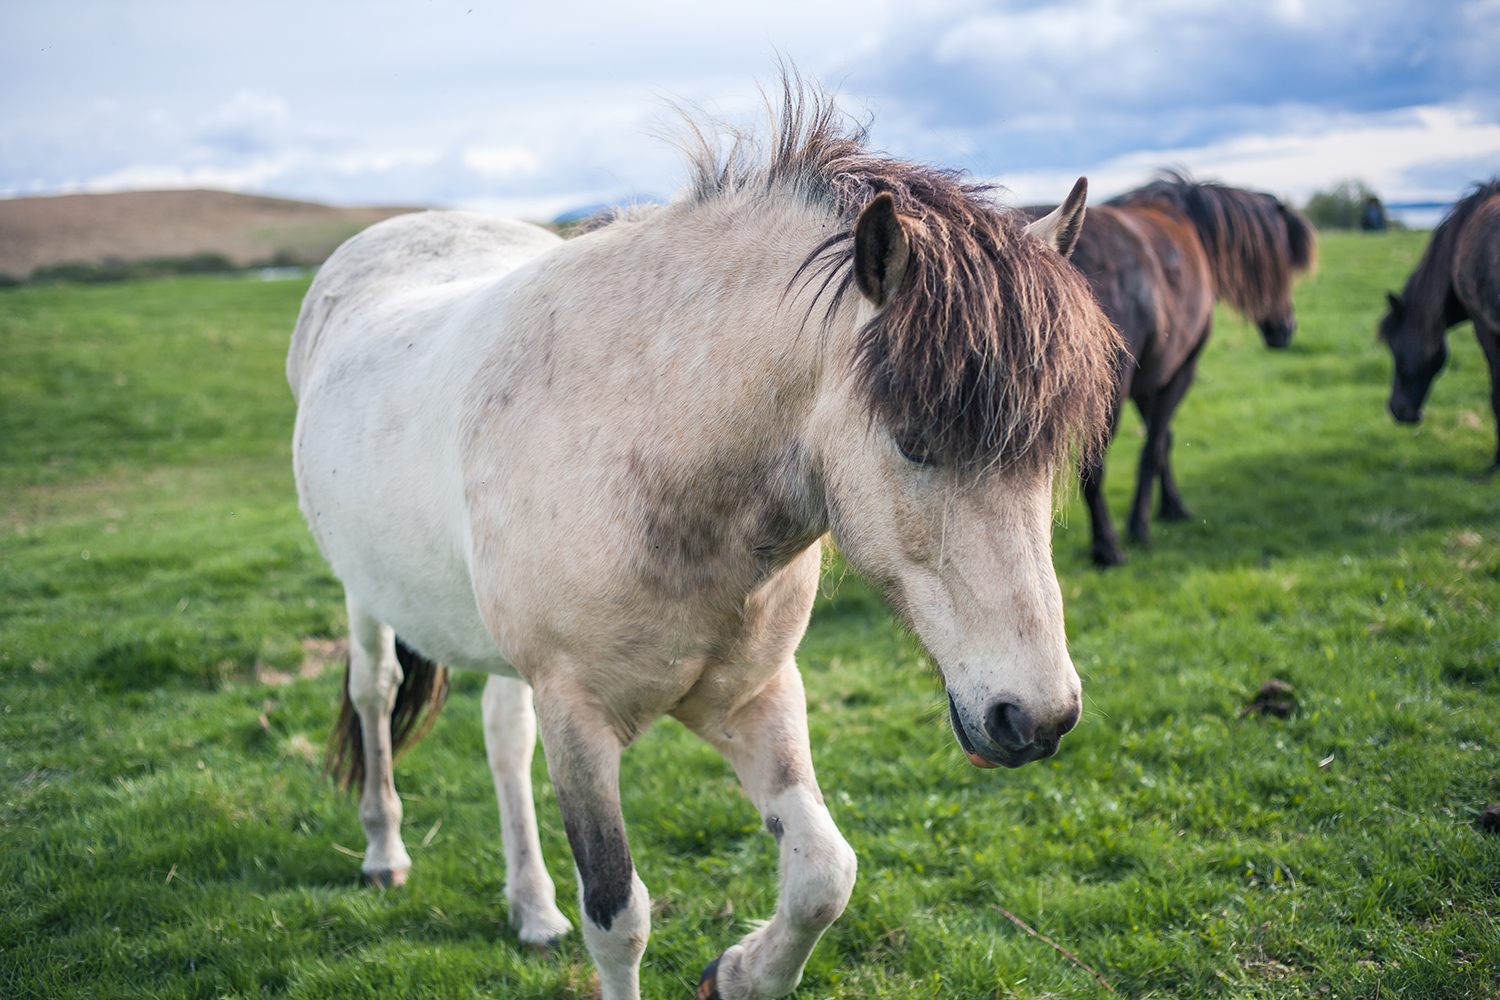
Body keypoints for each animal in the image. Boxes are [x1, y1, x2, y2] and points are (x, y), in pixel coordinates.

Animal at [286, 88, 1122, 1000]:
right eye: (914, 442)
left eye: (1048, 454)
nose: (1037, 717)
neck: (652, 452)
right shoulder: (581, 723)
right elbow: (618, 916)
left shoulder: (752, 696)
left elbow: (824, 874)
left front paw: (738, 973)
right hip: (365, 598)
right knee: (375, 695)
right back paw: (384, 854)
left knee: (504, 739)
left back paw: (532, 908)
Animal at [1038, 172, 1320, 563]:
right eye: (1281, 264)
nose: (1287, 329)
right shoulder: (1181, 371)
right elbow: (1153, 448)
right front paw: (1140, 525)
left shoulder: (1150, 380)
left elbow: (1163, 441)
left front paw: (1171, 506)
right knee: (1091, 468)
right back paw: (1107, 547)